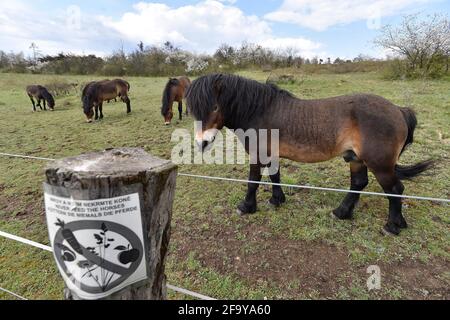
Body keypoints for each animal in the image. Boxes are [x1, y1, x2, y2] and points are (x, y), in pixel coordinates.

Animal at [185, 74, 434, 236]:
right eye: (192, 109)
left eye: (215, 107)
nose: (201, 142)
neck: (260, 110)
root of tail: (399, 110)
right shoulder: (271, 155)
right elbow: (275, 177)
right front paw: (277, 200)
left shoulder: (257, 155)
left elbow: (253, 181)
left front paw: (246, 207)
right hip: (356, 159)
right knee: (359, 183)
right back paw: (341, 212)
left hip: (379, 164)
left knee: (395, 190)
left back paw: (393, 226)